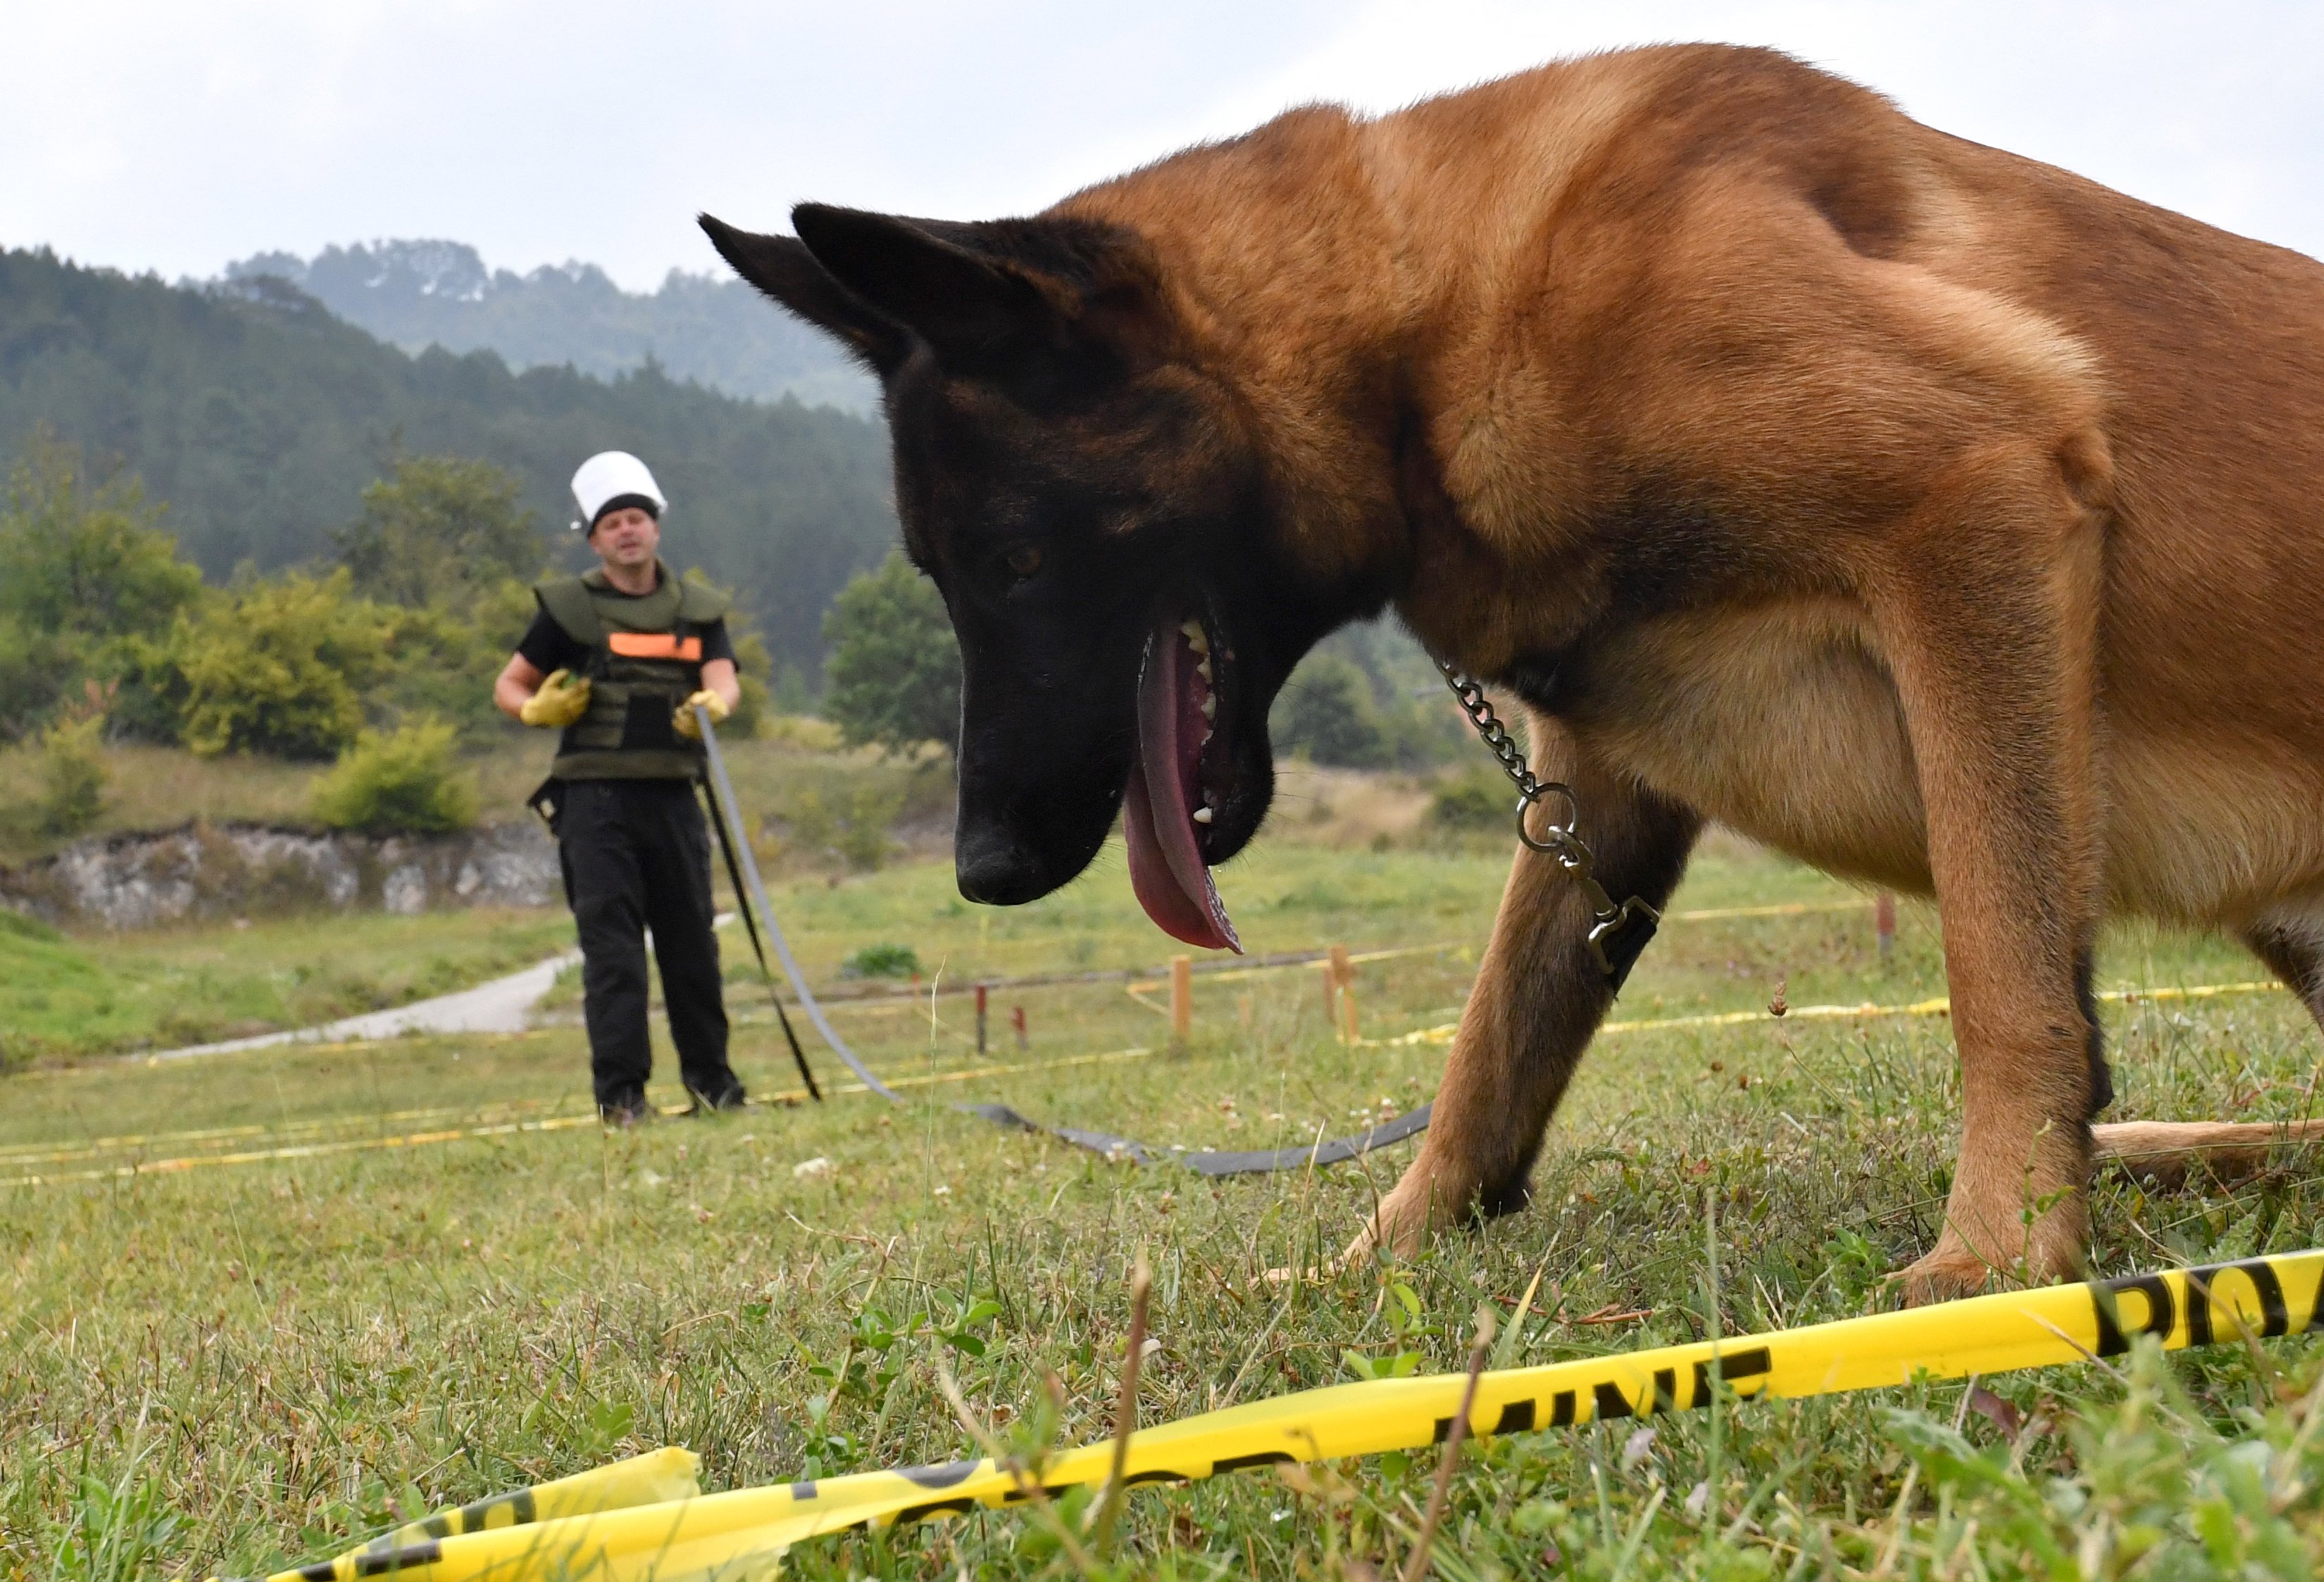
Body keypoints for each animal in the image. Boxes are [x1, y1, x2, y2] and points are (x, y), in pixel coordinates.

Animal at [706, 43, 2324, 1300]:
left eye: (1016, 561)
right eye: (941, 575)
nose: (979, 867)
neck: (1424, 336)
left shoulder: (1975, 498)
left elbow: (2001, 964)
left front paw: (2001, 1251)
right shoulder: (1599, 787)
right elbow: (1488, 1050)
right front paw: (1372, 1259)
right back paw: (2174, 1151)